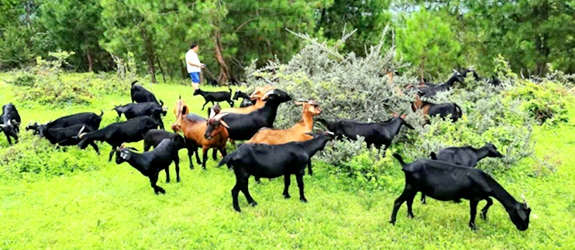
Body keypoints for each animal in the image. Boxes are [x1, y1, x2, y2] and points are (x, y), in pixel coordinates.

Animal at [390, 153, 532, 231]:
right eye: (523, 215)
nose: (524, 228)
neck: (484, 180)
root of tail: (406, 165)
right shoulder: (474, 197)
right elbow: (473, 212)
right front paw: (473, 226)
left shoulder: (481, 195)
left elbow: (490, 201)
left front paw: (483, 214)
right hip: (411, 187)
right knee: (398, 201)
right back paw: (392, 222)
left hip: (414, 187)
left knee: (409, 201)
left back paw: (411, 216)